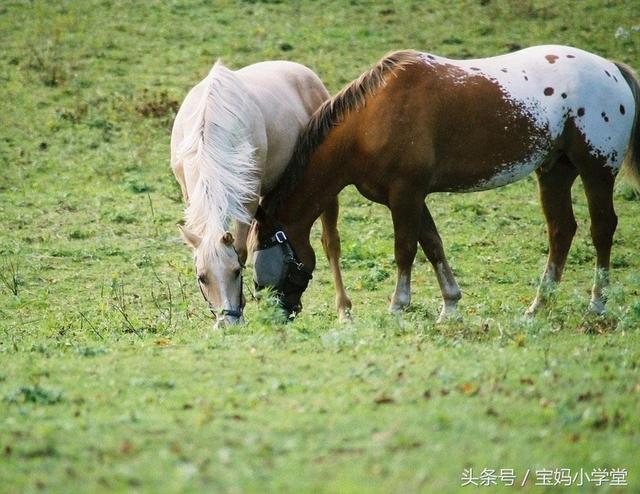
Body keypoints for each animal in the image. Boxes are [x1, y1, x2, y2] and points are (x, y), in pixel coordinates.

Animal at [170, 59, 352, 326]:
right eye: (202, 277)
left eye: (236, 272)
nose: (228, 324)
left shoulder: (248, 200)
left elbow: (242, 250)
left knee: (331, 245)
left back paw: (344, 311)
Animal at [254, 46, 640, 322]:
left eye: (269, 265)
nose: (281, 314)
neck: (372, 119)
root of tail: (610, 68)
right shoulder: (411, 196)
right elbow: (433, 244)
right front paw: (450, 305)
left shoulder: (406, 194)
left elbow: (406, 249)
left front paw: (398, 306)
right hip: (555, 172)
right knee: (561, 231)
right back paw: (538, 307)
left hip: (597, 170)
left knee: (602, 229)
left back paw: (597, 305)